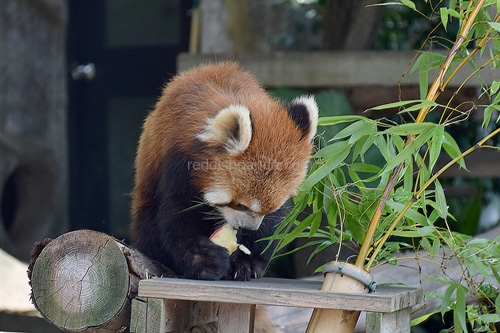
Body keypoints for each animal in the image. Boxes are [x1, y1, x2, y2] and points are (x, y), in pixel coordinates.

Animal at [129, 62, 316, 280]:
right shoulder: (176, 164)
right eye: (241, 205)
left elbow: (271, 228)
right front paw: (205, 261)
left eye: (271, 208)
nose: (247, 228)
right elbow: (175, 218)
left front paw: (248, 262)